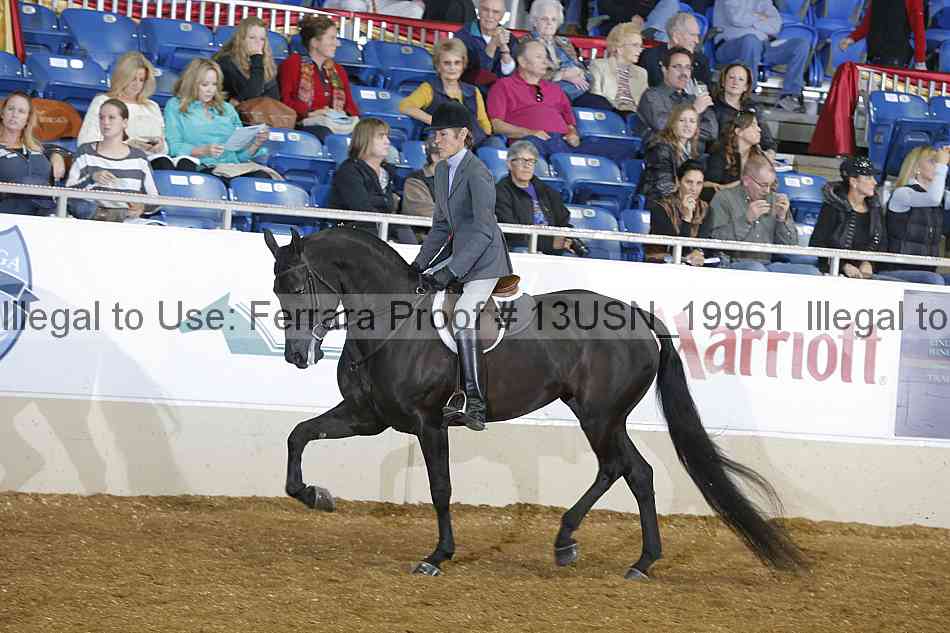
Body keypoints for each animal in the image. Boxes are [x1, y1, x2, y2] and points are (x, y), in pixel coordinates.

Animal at [263, 227, 805, 579]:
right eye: (276, 289)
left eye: (299, 286)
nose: (296, 356)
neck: (391, 323)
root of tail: (636, 315)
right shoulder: (368, 417)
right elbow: (297, 436)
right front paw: (315, 495)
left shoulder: (428, 422)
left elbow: (440, 488)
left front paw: (437, 556)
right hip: (606, 416)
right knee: (636, 472)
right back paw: (636, 560)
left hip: (598, 416)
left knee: (616, 468)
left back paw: (572, 542)